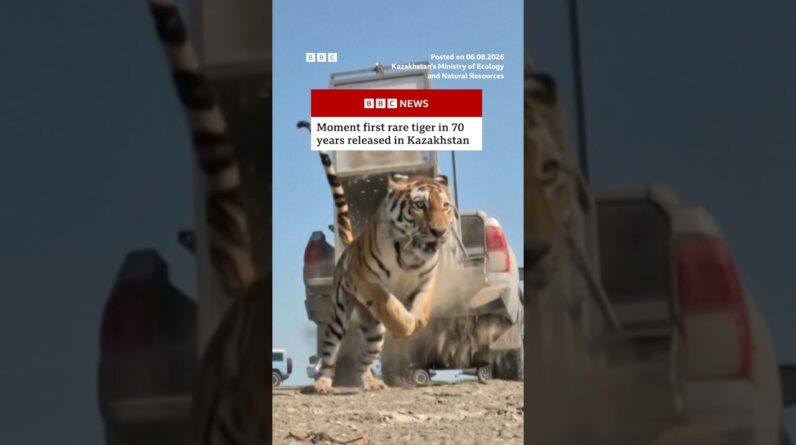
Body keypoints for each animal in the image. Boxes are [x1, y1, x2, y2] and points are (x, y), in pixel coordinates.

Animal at [312, 149, 455, 394]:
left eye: (445, 206)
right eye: (420, 205)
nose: (440, 232)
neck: (411, 254)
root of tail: (350, 244)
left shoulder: (426, 282)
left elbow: (422, 315)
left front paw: (415, 324)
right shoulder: (367, 280)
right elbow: (392, 307)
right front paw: (403, 327)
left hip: (373, 334)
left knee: (362, 357)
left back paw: (371, 382)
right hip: (339, 315)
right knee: (330, 351)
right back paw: (323, 383)